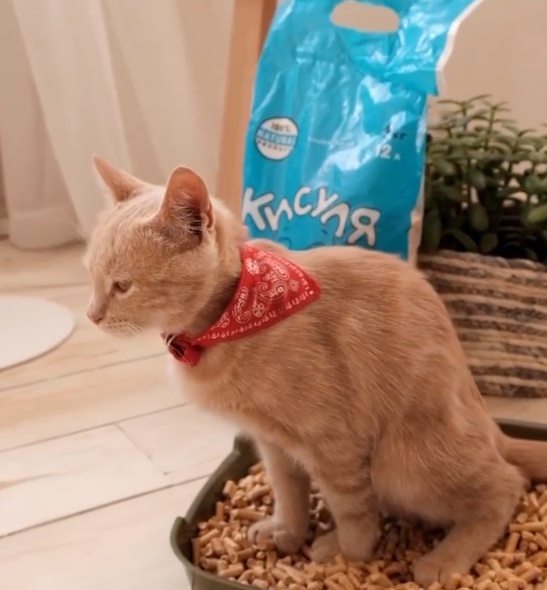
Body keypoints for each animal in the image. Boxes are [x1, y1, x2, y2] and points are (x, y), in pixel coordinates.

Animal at [85, 155, 547, 587]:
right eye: (90, 276)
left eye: (122, 285)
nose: (91, 316)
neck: (231, 317)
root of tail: (493, 427)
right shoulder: (272, 442)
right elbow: (288, 491)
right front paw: (286, 531)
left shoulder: (334, 444)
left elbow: (353, 509)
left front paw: (348, 552)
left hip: (403, 465)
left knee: (506, 485)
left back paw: (444, 559)